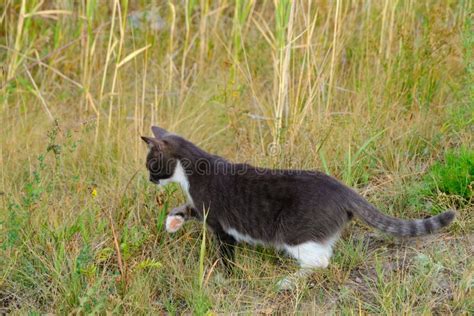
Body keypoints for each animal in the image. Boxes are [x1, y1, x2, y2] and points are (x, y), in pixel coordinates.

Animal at [142, 125, 456, 288]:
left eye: (150, 164)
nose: (149, 179)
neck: (192, 170)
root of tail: (343, 189)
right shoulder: (201, 208)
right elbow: (186, 208)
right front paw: (172, 222)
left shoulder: (220, 225)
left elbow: (226, 254)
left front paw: (224, 276)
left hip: (294, 232)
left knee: (321, 261)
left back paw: (288, 280)